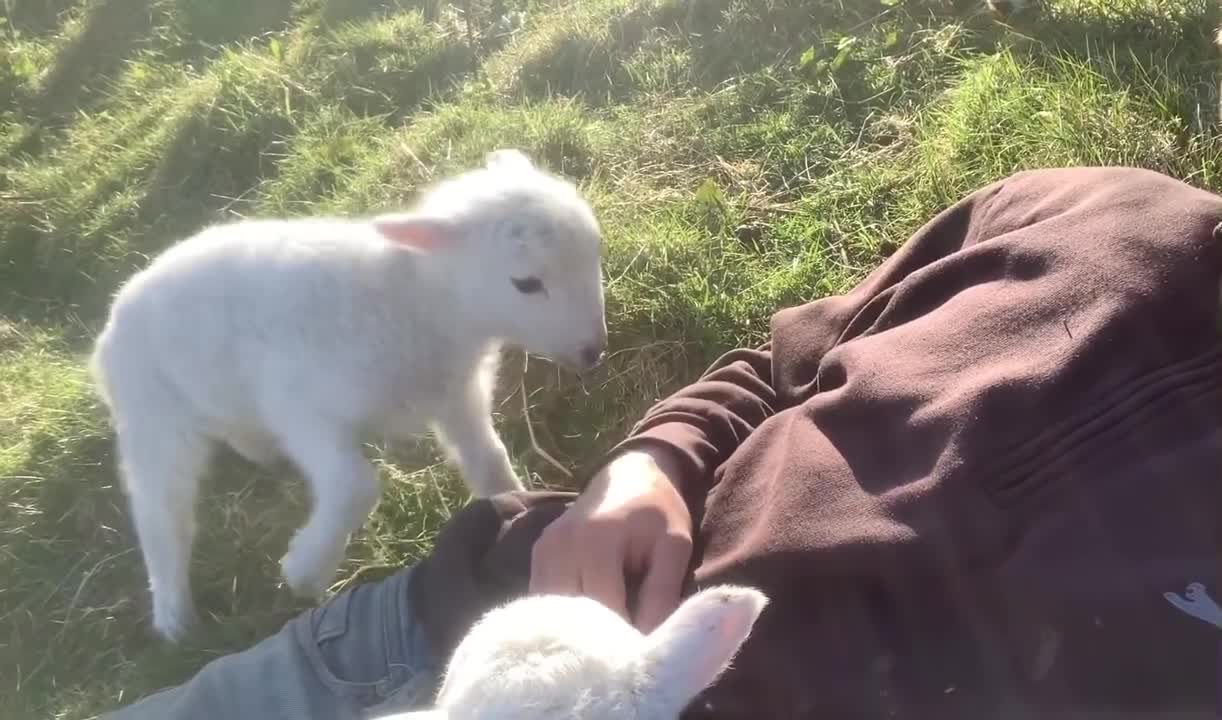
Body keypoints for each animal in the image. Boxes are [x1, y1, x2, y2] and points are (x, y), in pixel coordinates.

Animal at [86, 147, 606, 640]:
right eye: (526, 283)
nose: (593, 351)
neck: (419, 301)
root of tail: (113, 318)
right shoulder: (305, 409)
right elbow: (357, 486)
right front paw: (304, 569)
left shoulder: (457, 396)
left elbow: (487, 459)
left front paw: (513, 502)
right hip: (153, 415)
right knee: (161, 513)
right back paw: (174, 615)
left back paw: (262, 453)